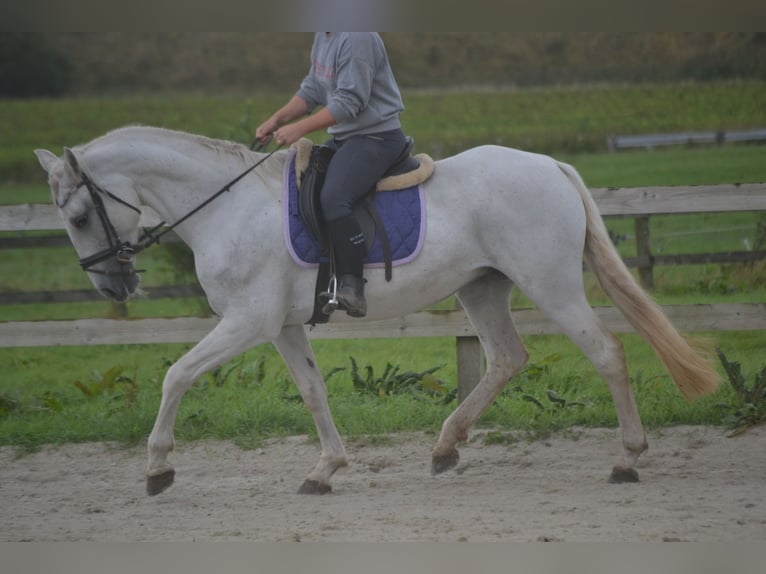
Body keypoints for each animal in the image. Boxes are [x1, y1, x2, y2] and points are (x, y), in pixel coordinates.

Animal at [34, 126, 720, 496]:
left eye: (79, 216)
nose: (113, 286)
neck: (226, 208)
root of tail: (551, 164)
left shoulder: (247, 323)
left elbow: (176, 374)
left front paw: (157, 468)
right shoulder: (282, 327)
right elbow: (313, 392)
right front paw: (325, 470)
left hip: (550, 284)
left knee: (605, 352)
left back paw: (627, 459)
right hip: (482, 288)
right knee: (506, 358)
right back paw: (445, 448)